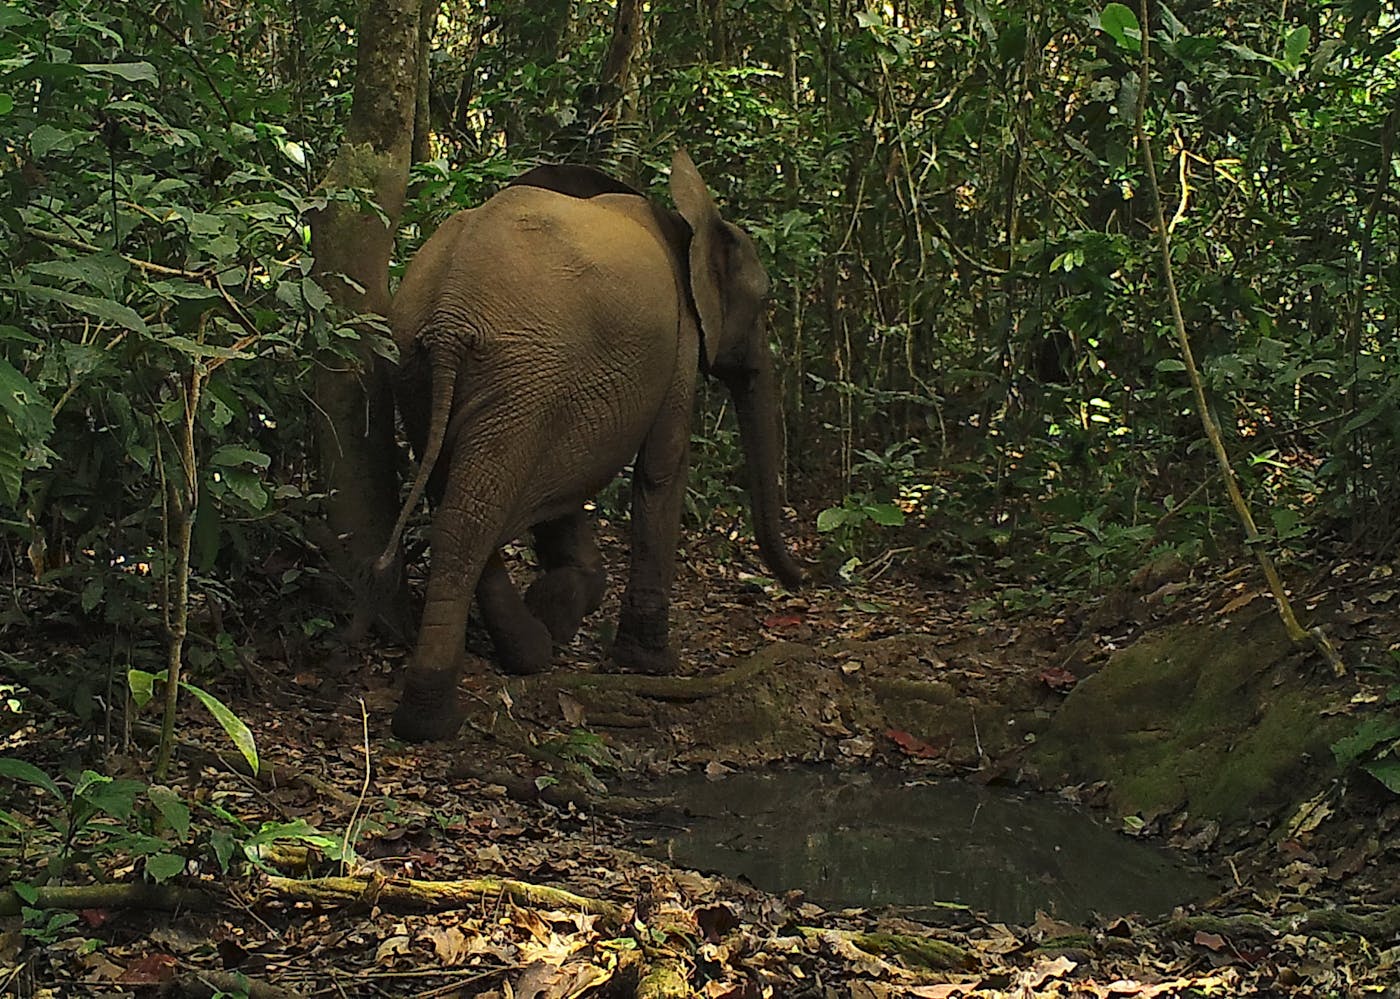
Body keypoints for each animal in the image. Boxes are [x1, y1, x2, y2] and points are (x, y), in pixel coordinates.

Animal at [378, 147, 806, 738]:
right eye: (764, 303)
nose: (808, 582)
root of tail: (448, 311)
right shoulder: (679, 341)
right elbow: (662, 470)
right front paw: (650, 665)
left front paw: (562, 604)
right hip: (525, 373)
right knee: (473, 520)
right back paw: (438, 717)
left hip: (423, 371)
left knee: (462, 506)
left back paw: (523, 654)